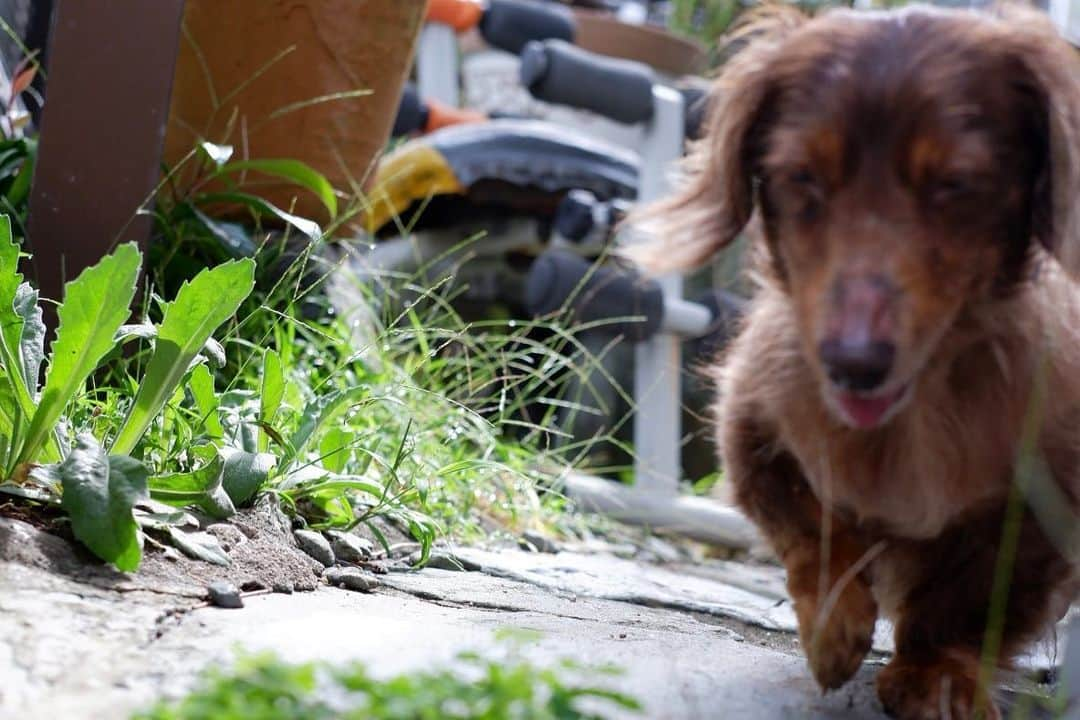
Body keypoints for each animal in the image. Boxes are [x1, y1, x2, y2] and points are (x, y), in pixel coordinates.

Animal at [639, 5, 1080, 720]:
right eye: (801, 177)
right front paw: (833, 630)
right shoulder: (755, 430)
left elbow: (968, 602)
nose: (853, 365)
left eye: (955, 184)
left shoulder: (1036, 508)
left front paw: (937, 675)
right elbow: (812, 534)